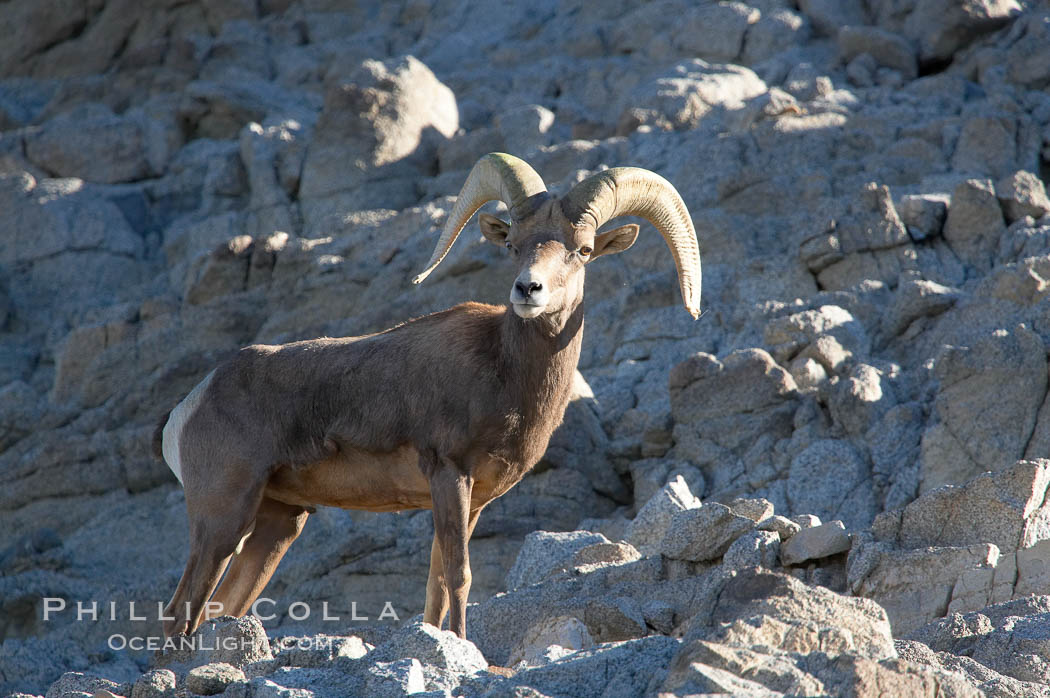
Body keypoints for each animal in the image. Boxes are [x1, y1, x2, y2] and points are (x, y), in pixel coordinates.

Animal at [155, 151, 701, 638]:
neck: (503, 373)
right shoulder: (448, 476)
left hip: (277, 523)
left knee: (221, 608)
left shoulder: (472, 500)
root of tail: (188, 408)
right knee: (182, 611)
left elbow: (438, 583)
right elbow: (458, 577)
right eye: (513, 244)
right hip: (223, 518)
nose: (529, 290)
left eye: (583, 250)